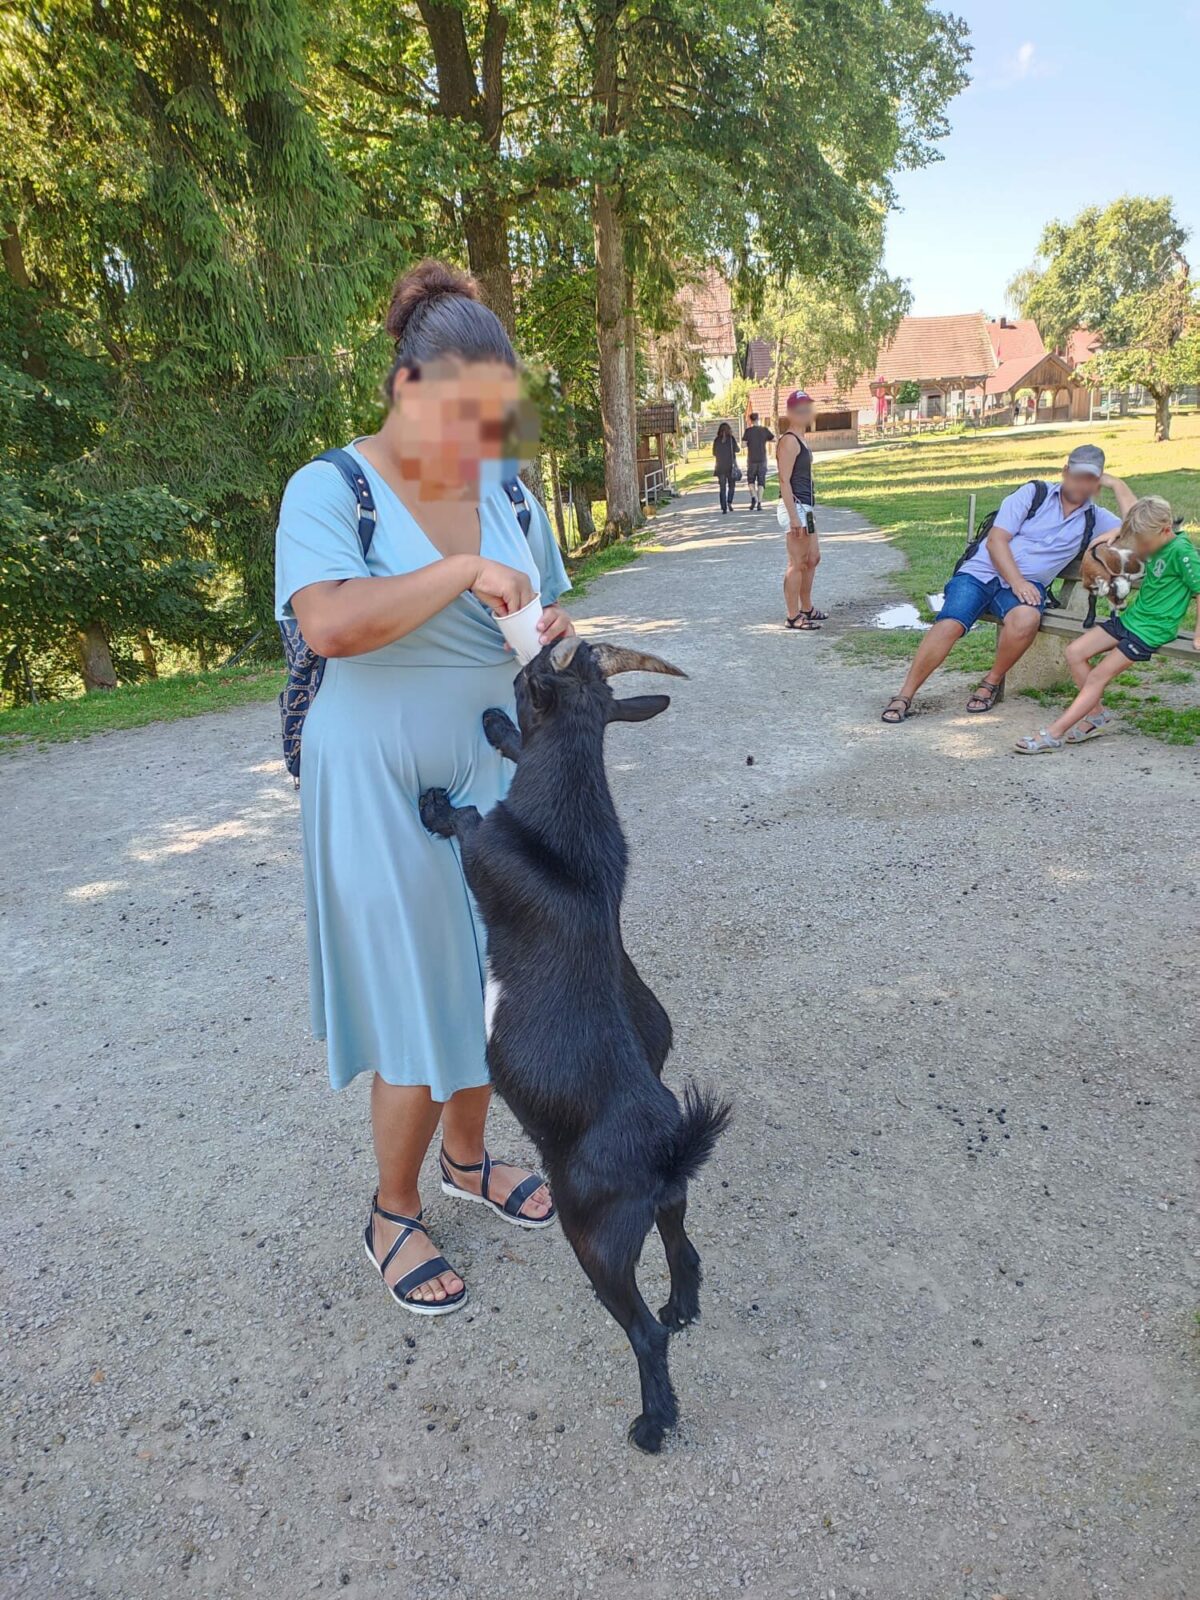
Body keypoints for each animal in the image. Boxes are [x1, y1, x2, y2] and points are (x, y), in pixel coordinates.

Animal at [418, 637, 730, 1453]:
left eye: (532, 678)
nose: (513, 668)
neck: (567, 821)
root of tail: (664, 1153)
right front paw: (497, 731)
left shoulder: (487, 850)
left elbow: (469, 821)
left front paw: (436, 805)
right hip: (668, 1206)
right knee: (684, 1253)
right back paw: (683, 1307)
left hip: (595, 1243)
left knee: (643, 1334)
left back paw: (653, 1423)